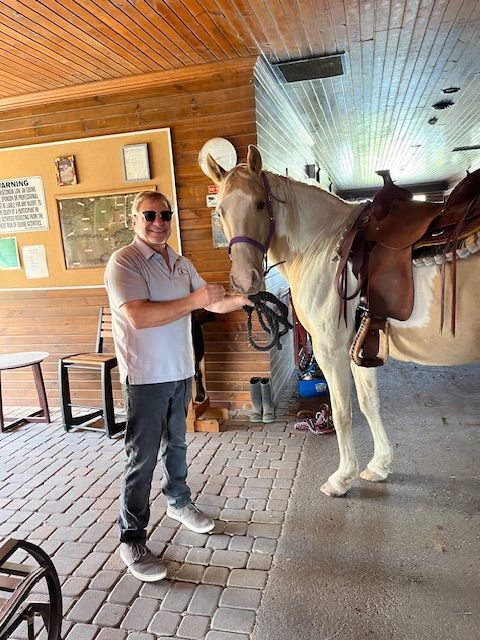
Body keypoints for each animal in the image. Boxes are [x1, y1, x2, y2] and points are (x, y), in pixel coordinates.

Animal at [205, 145, 480, 497]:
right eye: (220, 211)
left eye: (259, 204)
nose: (244, 280)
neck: (323, 245)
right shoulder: (362, 347)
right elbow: (369, 403)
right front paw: (378, 466)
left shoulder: (331, 350)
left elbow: (342, 412)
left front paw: (342, 477)